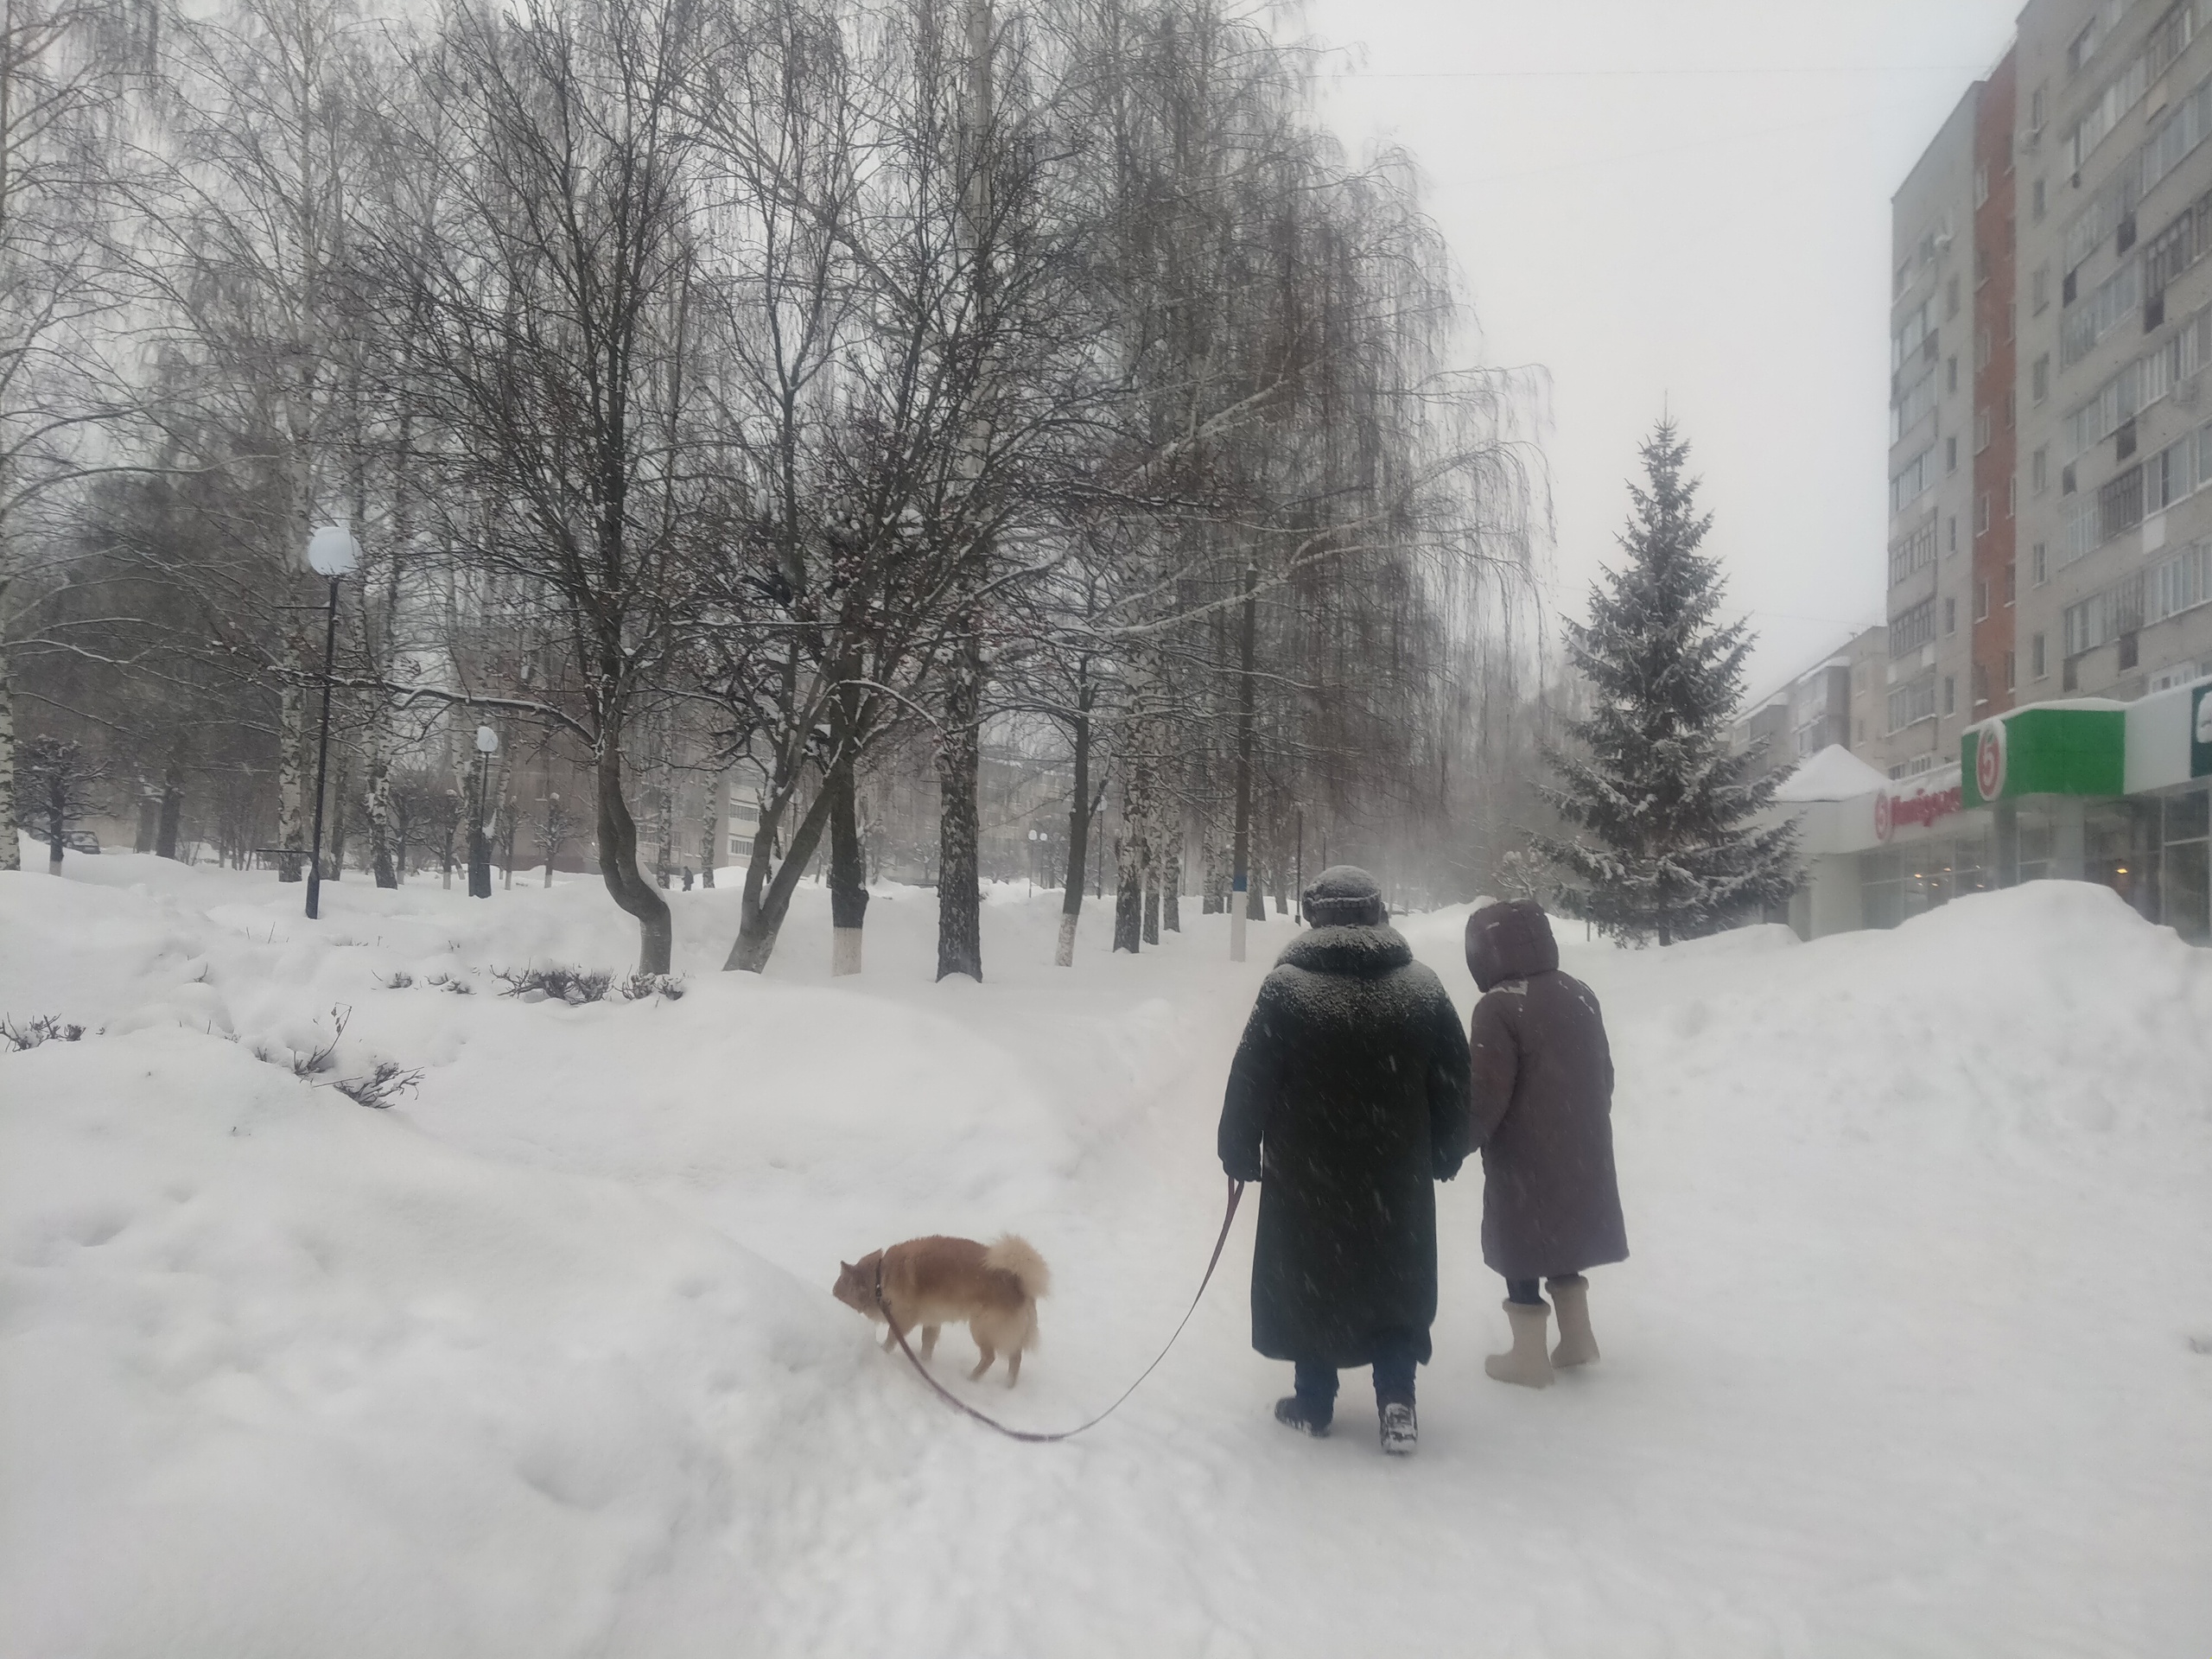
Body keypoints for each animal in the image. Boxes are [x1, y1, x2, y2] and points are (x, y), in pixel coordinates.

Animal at [836, 1238, 1052, 1389]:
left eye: (837, 1295)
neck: (879, 1278)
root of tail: (1018, 1282)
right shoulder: (931, 1322)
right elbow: (927, 1345)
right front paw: (925, 1365)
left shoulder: (903, 1319)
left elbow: (891, 1339)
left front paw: (882, 1351)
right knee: (1015, 1358)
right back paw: (1008, 1385)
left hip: (981, 1328)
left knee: (990, 1357)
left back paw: (971, 1379)